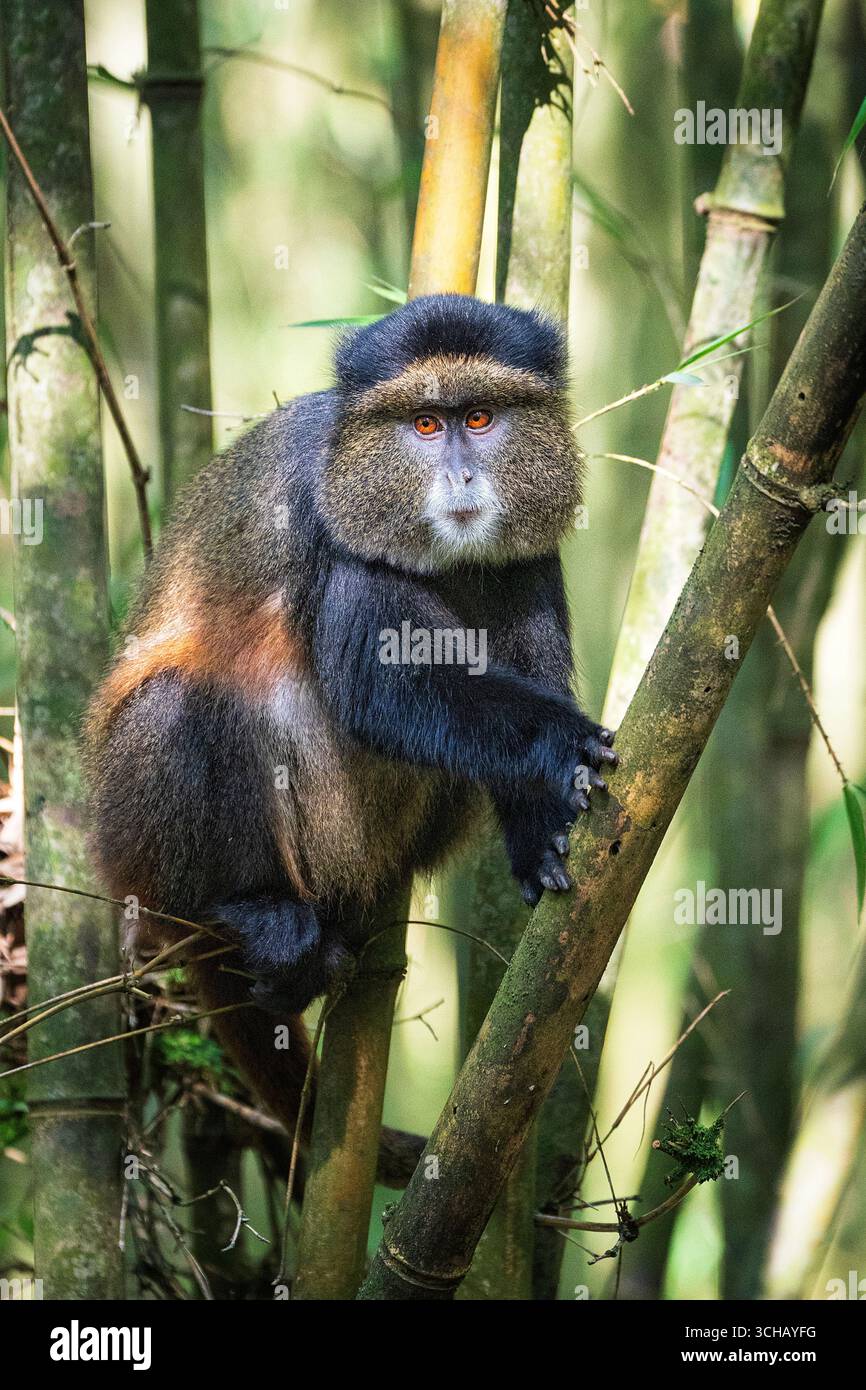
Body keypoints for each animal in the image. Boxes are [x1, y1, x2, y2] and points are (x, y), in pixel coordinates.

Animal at [84, 292, 617, 1158]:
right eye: (425, 425)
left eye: (479, 416)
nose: (463, 476)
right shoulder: (328, 515)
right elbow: (381, 684)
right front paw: (559, 743)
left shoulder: (527, 549)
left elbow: (523, 650)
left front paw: (539, 828)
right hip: (140, 858)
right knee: (176, 710)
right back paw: (244, 915)